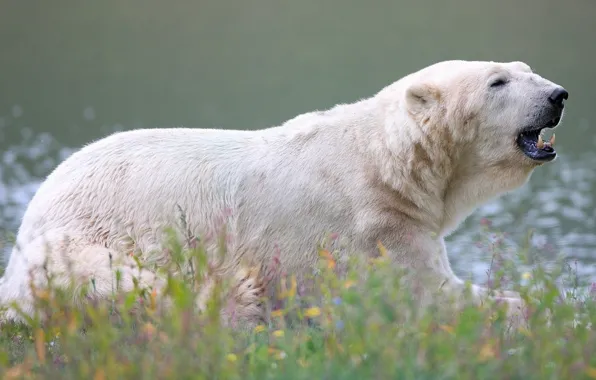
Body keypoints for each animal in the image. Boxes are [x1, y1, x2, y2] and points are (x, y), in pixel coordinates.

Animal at [0, 59, 568, 326]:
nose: (558, 94)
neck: (387, 163)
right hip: (84, 240)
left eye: (525, 70)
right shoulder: (369, 228)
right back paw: (238, 301)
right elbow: (428, 297)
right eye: (497, 82)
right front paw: (534, 308)